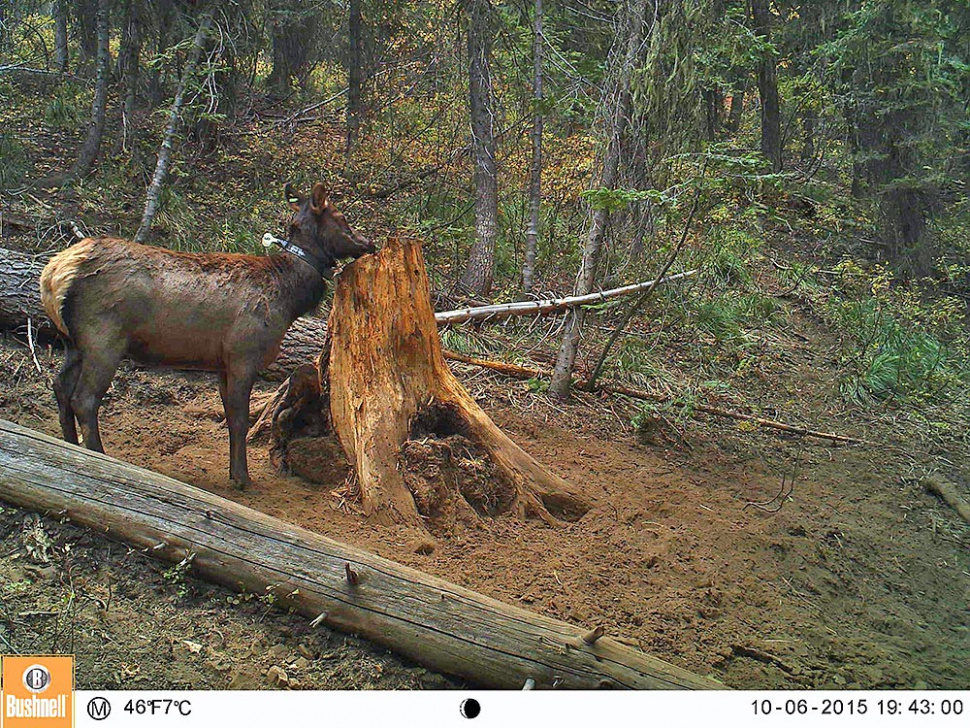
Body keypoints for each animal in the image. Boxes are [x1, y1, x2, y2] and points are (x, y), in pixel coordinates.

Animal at [39, 182, 375, 488]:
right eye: (341, 216)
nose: (369, 242)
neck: (289, 299)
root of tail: (53, 273)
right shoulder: (243, 354)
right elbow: (239, 419)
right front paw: (242, 479)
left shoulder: (222, 362)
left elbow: (229, 418)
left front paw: (233, 473)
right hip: (104, 338)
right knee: (84, 398)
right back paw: (98, 455)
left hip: (72, 342)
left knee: (60, 386)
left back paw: (69, 446)